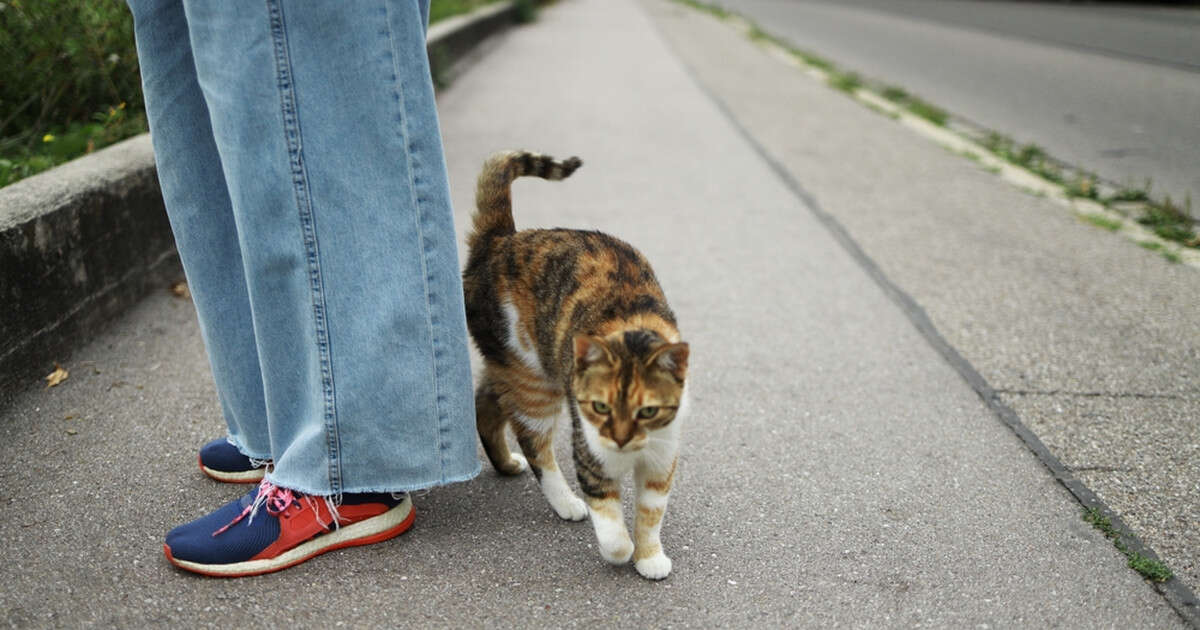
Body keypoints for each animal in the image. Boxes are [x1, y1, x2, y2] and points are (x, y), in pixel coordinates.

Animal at [465, 150, 696, 578]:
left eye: (647, 411)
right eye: (600, 407)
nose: (619, 440)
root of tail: (501, 238)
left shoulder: (662, 457)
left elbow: (650, 513)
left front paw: (650, 557)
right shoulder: (590, 453)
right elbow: (609, 518)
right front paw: (621, 550)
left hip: (517, 364)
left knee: (487, 401)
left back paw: (505, 463)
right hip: (533, 381)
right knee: (533, 440)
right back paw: (565, 501)